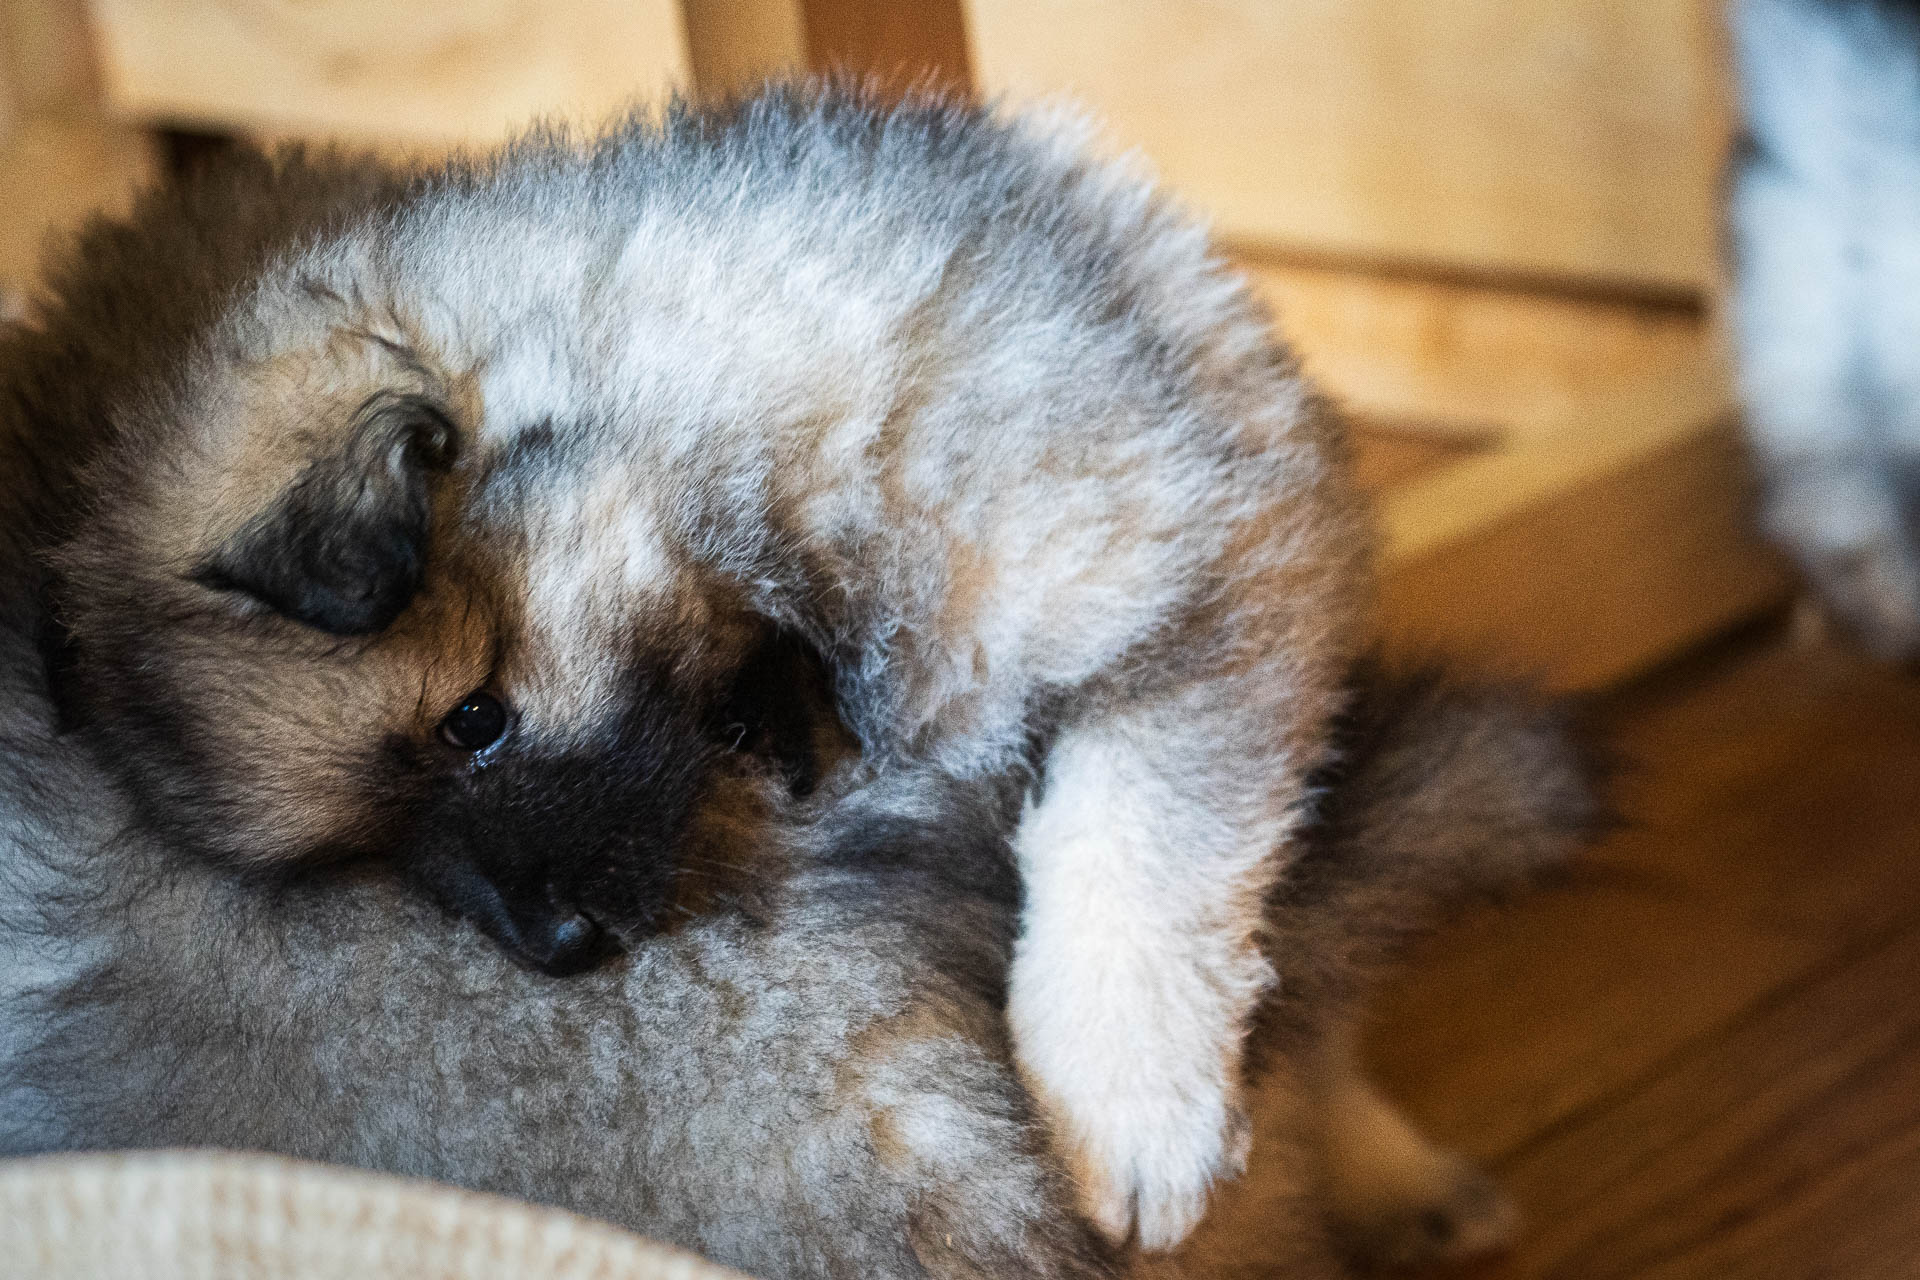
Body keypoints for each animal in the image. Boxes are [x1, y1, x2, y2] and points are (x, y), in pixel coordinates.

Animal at [11, 82, 1367, 1243]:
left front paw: (1130, 1119)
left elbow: (1141, 849)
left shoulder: (1186, 582)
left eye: (473, 719)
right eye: (361, 850)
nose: (555, 945)